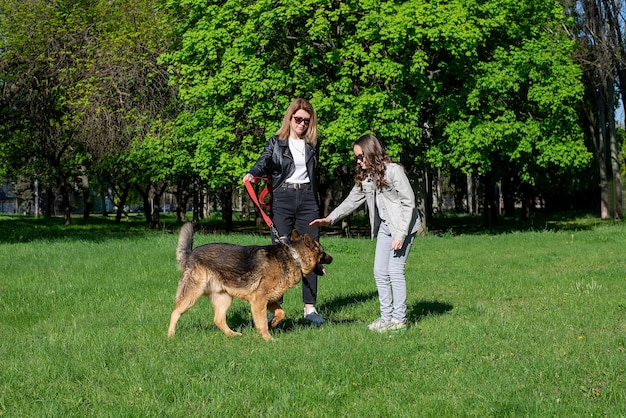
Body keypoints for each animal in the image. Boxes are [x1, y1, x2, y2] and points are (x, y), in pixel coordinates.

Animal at [166, 224, 332, 342]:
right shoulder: (259, 301)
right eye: (323, 251)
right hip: (192, 295)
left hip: (225, 298)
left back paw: (232, 334)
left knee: (218, 320)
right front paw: (268, 339)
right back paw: (170, 335)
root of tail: (190, 254)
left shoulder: (269, 300)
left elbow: (281, 313)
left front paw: (274, 323)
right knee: (175, 312)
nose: (332, 258)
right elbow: (262, 323)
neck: (294, 256)